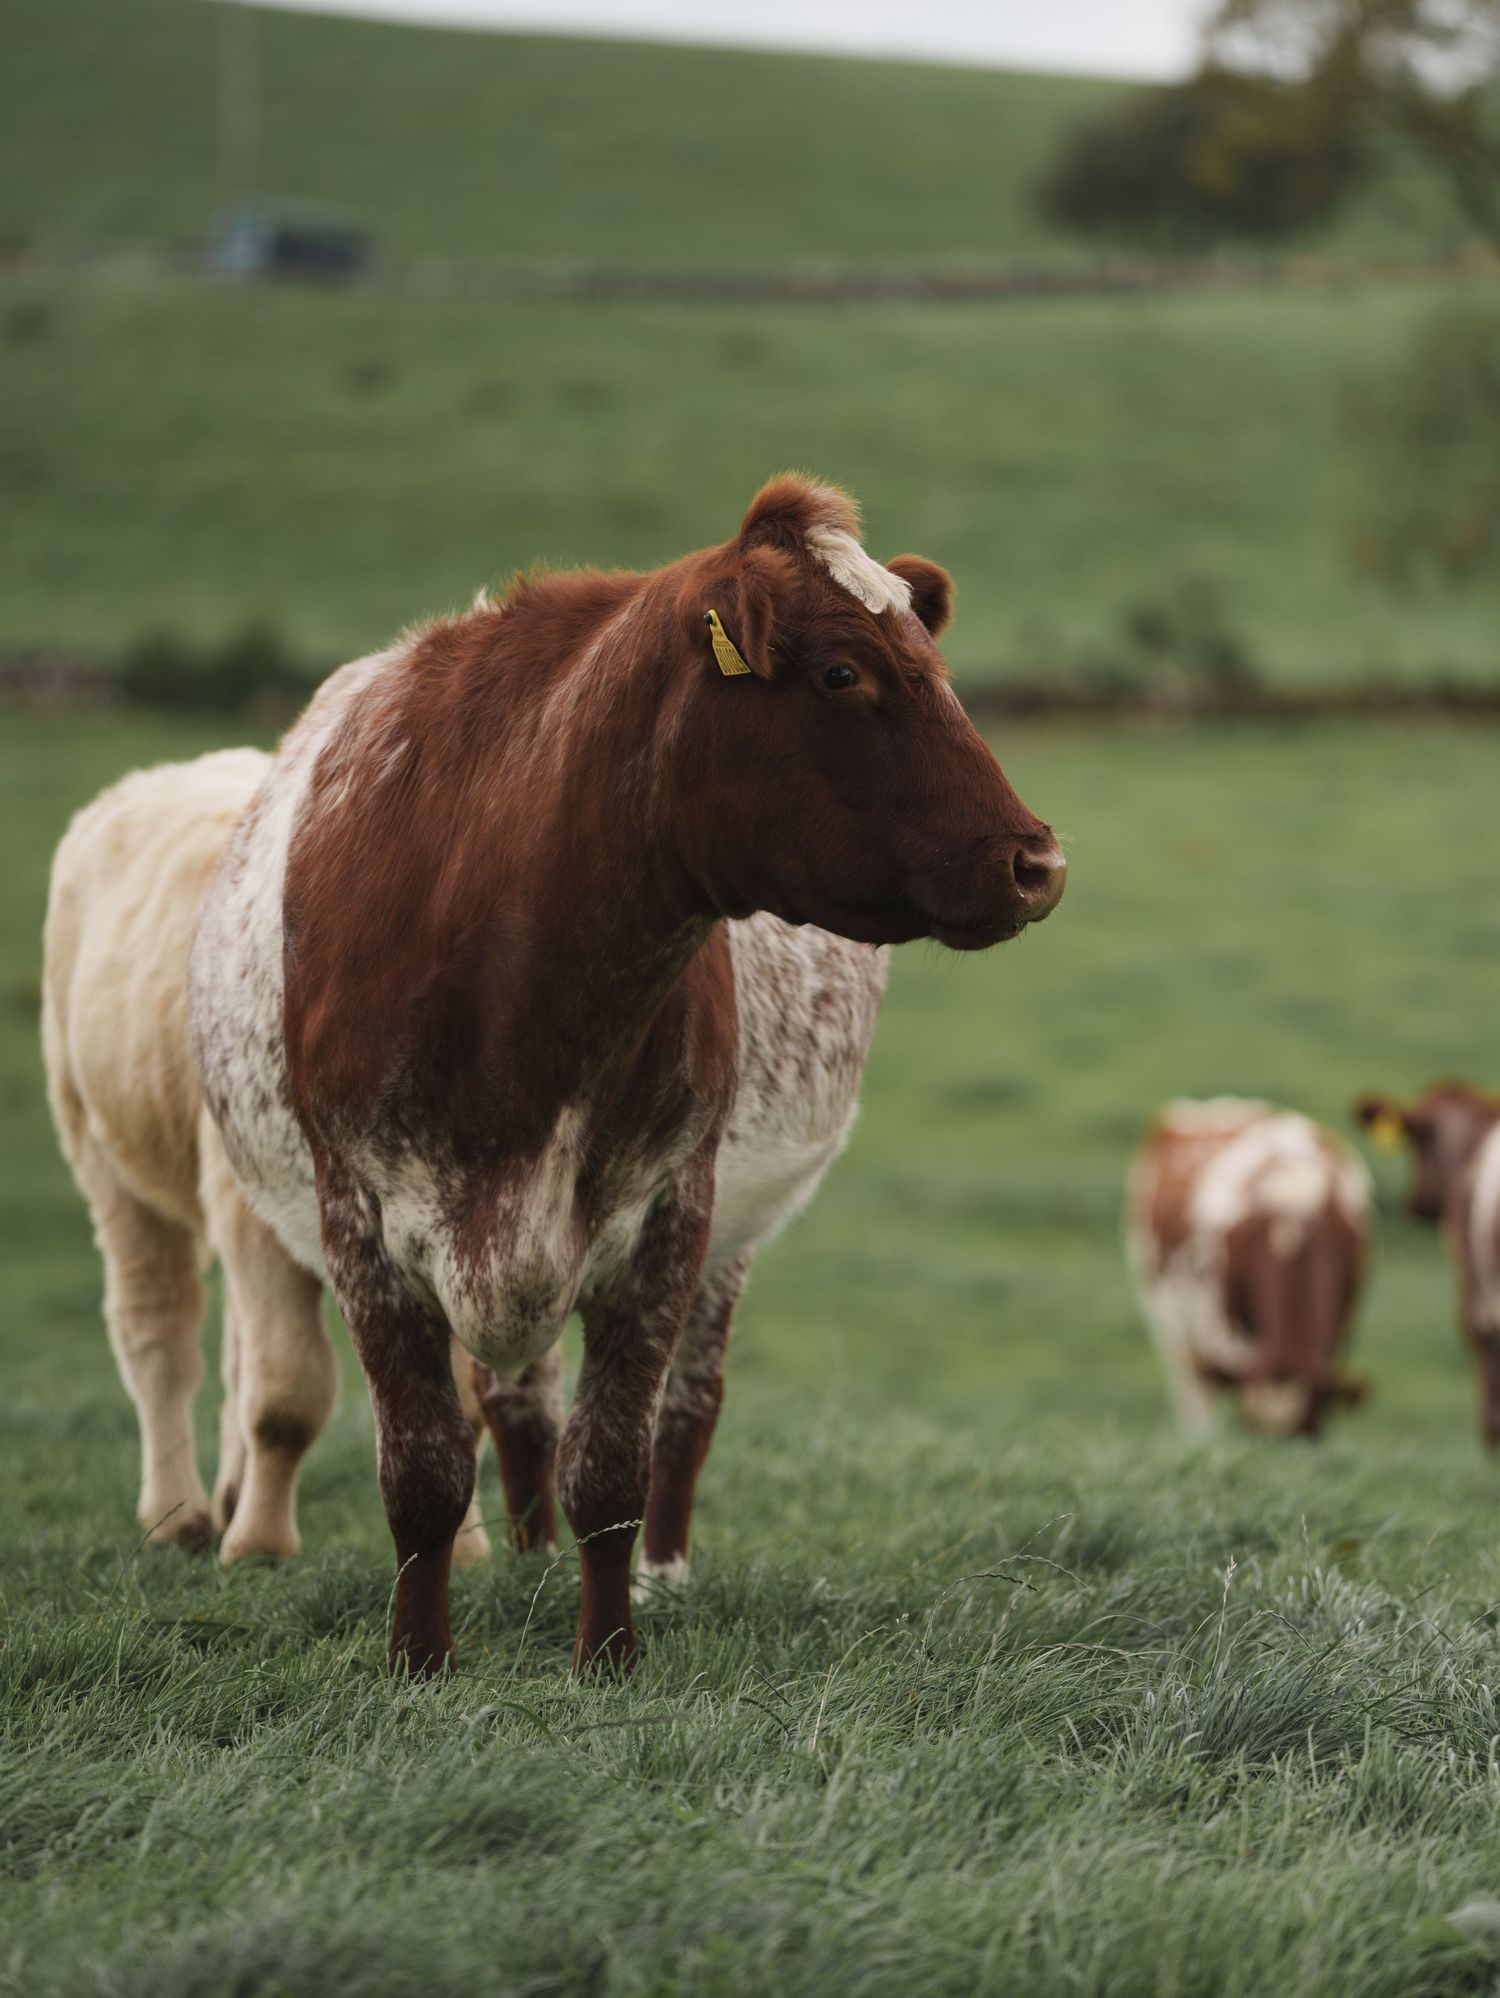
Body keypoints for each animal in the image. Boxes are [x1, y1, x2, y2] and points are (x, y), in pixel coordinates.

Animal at [41, 752, 495, 1567]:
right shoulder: (254, 1211)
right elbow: (288, 1395)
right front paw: (259, 1545)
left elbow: (461, 1402)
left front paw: (464, 1552)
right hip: (105, 1156)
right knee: (158, 1330)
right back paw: (180, 1515)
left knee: (231, 1351)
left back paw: (223, 1496)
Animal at [187, 474, 1067, 1677]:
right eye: (842, 674)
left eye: (935, 667)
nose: (1036, 862)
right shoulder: (359, 1215)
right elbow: (423, 1470)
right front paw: (420, 1659)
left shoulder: (671, 1212)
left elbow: (614, 1462)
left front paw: (607, 1651)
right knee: (516, 1408)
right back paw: (523, 1565)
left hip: (723, 1240)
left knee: (680, 1414)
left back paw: (661, 1573)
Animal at [1126, 1099, 1372, 1438]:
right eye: (1250, 1429)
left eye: (1310, 1426)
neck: (1293, 1220)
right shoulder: (1225, 1328)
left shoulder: (1343, 1318)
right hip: (1169, 1321)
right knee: (1194, 1392)